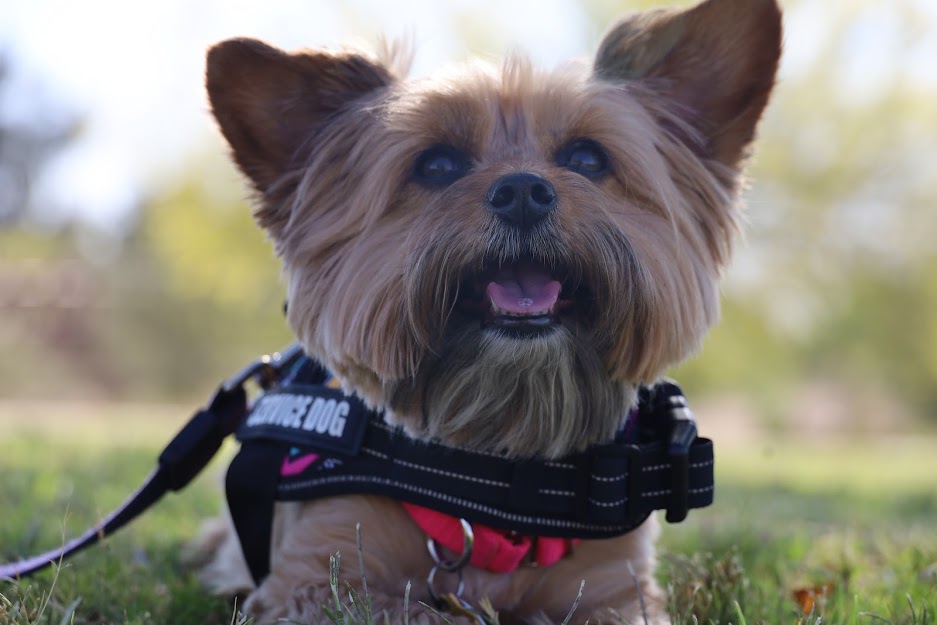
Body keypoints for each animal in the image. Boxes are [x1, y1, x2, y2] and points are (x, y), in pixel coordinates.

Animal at [197, 0, 784, 620]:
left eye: (586, 157)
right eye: (436, 165)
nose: (523, 190)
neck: (497, 480)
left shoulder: (615, 589)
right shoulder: (320, 578)